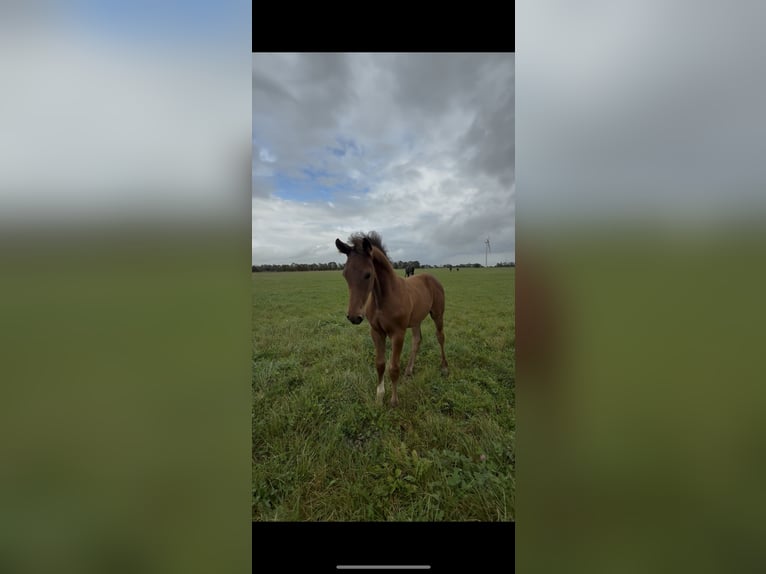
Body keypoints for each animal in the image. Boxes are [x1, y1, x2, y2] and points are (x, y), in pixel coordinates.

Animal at [335, 232, 449, 407]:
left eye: (368, 274)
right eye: (345, 274)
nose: (354, 317)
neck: (382, 299)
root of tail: (431, 277)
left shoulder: (398, 333)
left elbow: (393, 367)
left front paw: (394, 401)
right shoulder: (376, 332)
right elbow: (380, 364)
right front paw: (379, 397)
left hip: (437, 314)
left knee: (440, 337)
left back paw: (444, 367)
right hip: (416, 320)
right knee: (417, 340)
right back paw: (409, 370)